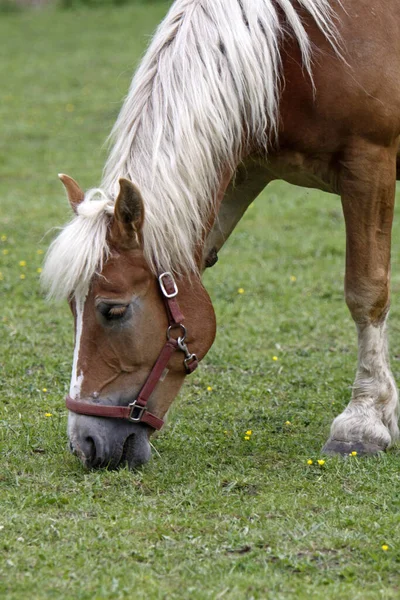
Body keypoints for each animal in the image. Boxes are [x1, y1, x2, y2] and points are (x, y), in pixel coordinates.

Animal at [41, 0, 400, 468]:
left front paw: (363, 421)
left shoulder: (370, 164)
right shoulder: (244, 170)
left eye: (112, 311)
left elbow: (366, 292)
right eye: (73, 307)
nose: (85, 443)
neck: (292, 51)